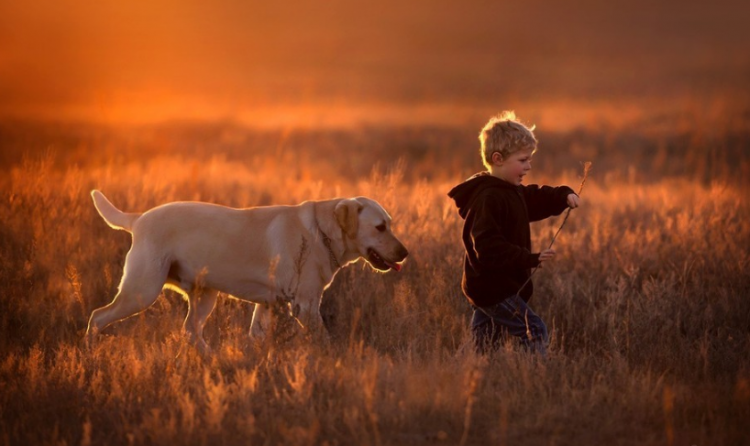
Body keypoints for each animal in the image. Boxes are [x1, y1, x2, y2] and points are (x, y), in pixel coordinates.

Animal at [85, 190, 408, 354]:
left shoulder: (266, 305)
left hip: (204, 297)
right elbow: (324, 339)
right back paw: (89, 350)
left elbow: (256, 337)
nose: (405, 253)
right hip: (142, 290)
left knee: (191, 331)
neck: (321, 232)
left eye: (390, 223)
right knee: (97, 316)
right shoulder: (305, 306)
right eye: (380, 227)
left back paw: (212, 359)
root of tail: (138, 219)